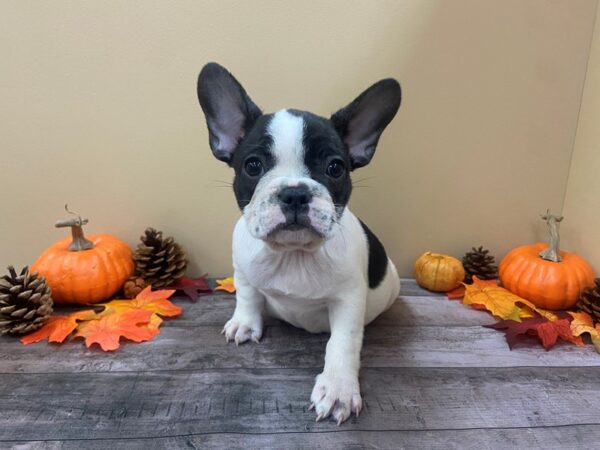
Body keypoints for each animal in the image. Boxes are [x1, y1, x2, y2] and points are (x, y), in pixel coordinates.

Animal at [198, 63, 404, 426]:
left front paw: (337, 388)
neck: (292, 254)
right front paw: (245, 323)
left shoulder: (349, 300)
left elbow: (342, 343)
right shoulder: (242, 271)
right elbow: (247, 297)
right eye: (253, 165)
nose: (294, 193)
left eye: (335, 167)